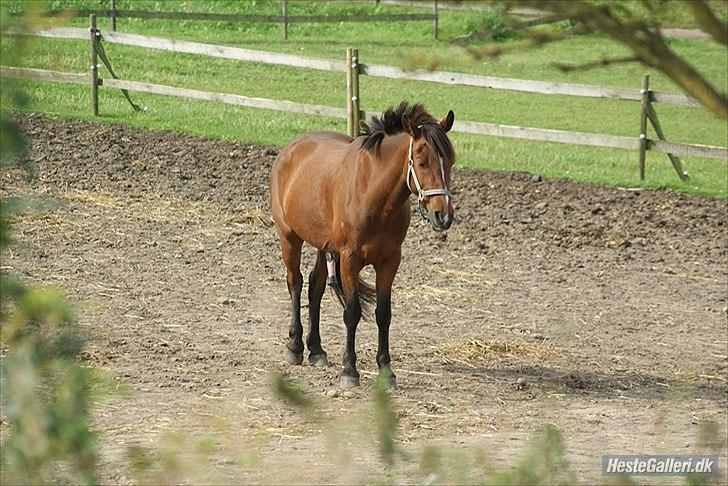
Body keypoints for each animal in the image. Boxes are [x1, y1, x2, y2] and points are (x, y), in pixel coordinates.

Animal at [270, 100, 456, 390]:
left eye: (450, 162)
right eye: (422, 162)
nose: (443, 216)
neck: (374, 195)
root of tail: (292, 147)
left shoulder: (390, 261)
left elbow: (384, 314)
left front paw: (387, 371)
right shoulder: (350, 258)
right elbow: (352, 313)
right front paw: (349, 370)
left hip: (324, 245)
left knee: (314, 287)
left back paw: (316, 350)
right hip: (289, 237)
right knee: (295, 283)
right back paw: (295, 346)